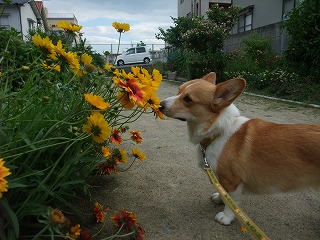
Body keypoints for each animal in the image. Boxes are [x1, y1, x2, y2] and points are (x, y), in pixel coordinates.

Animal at [160, 72, 320, 226]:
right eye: (179, 90)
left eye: (188, 99)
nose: (160, 104)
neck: (218, 132)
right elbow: (223, 193)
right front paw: (220, 198)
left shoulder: (232, 181)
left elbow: (231, 202)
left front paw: (226, 217)